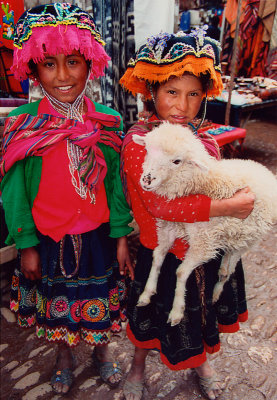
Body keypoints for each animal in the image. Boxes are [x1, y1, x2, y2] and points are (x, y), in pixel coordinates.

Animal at [132, 121, 276, 324]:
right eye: (147, 150)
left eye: (177, 161)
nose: (147, 180)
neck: (202, 183)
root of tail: (264, 171)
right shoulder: (168, 227)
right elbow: (158, 256)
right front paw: (147, 293)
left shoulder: (204, 242)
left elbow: (181, 272)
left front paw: (177, 311)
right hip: (234, 235)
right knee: (225, 264)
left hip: (249, 239)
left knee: (228, 270)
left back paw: (216, 292)